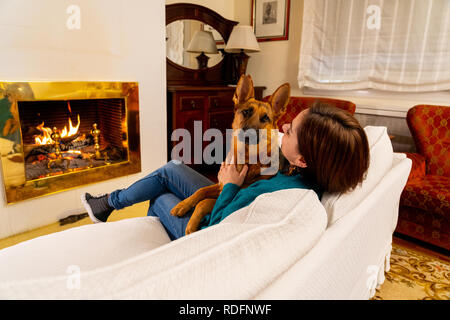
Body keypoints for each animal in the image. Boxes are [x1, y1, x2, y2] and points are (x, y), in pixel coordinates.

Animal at [170, 75, 292, 235]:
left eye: (265, 118)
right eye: (246, 112)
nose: (248, 135)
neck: (245, 156)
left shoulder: (230, 193)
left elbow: (204, 202)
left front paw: (191, 225)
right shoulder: (220, 184)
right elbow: (200, 191)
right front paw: (183, 205)